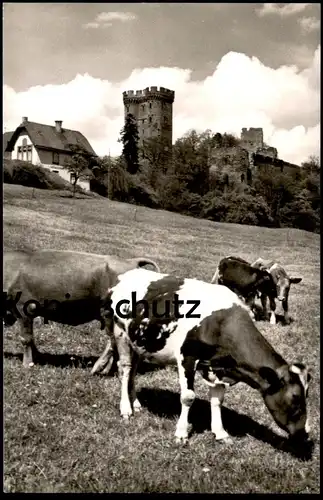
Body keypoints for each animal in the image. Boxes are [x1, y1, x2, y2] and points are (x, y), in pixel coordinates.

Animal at [2, 250, 159, 368]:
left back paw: (99, 367)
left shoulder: (24, 308)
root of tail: (131, 262)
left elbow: (26, 338)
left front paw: (27, 364)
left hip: (110, 314)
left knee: (113, 340)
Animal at [100, 270, 312, 446]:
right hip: (120, 332)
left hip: (139, 343)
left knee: (134, 369)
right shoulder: (186, 357)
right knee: (125, 368)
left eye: (307, 394)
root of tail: (124, 276)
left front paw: (220, 432)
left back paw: (136, 403)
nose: (305, 433)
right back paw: (126, 408)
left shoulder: (216, 367)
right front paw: (181, 433)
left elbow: (217, 399)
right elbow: (188, 397)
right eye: (295, 397)